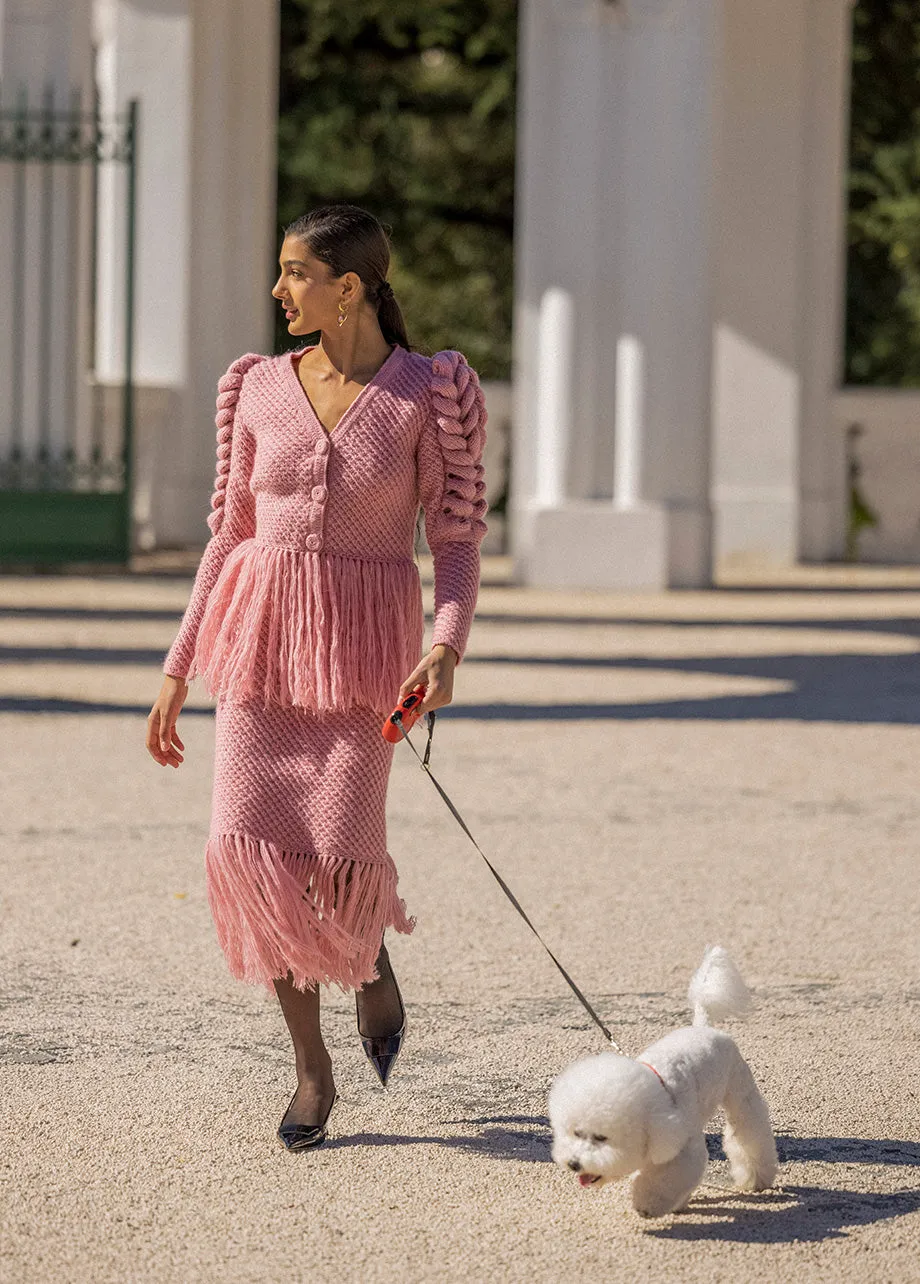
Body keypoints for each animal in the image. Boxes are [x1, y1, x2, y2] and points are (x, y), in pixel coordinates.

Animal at [549, 950, 780, 1217]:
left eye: (601, 1138)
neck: (657, 1094)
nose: (574, 1163)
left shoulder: (683, 1147)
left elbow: (665, 1179)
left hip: (739, 1091)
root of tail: (703, 1027)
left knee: (748, 1130)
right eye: (576, 1133)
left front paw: (648, 1204)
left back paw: (756, 1178)